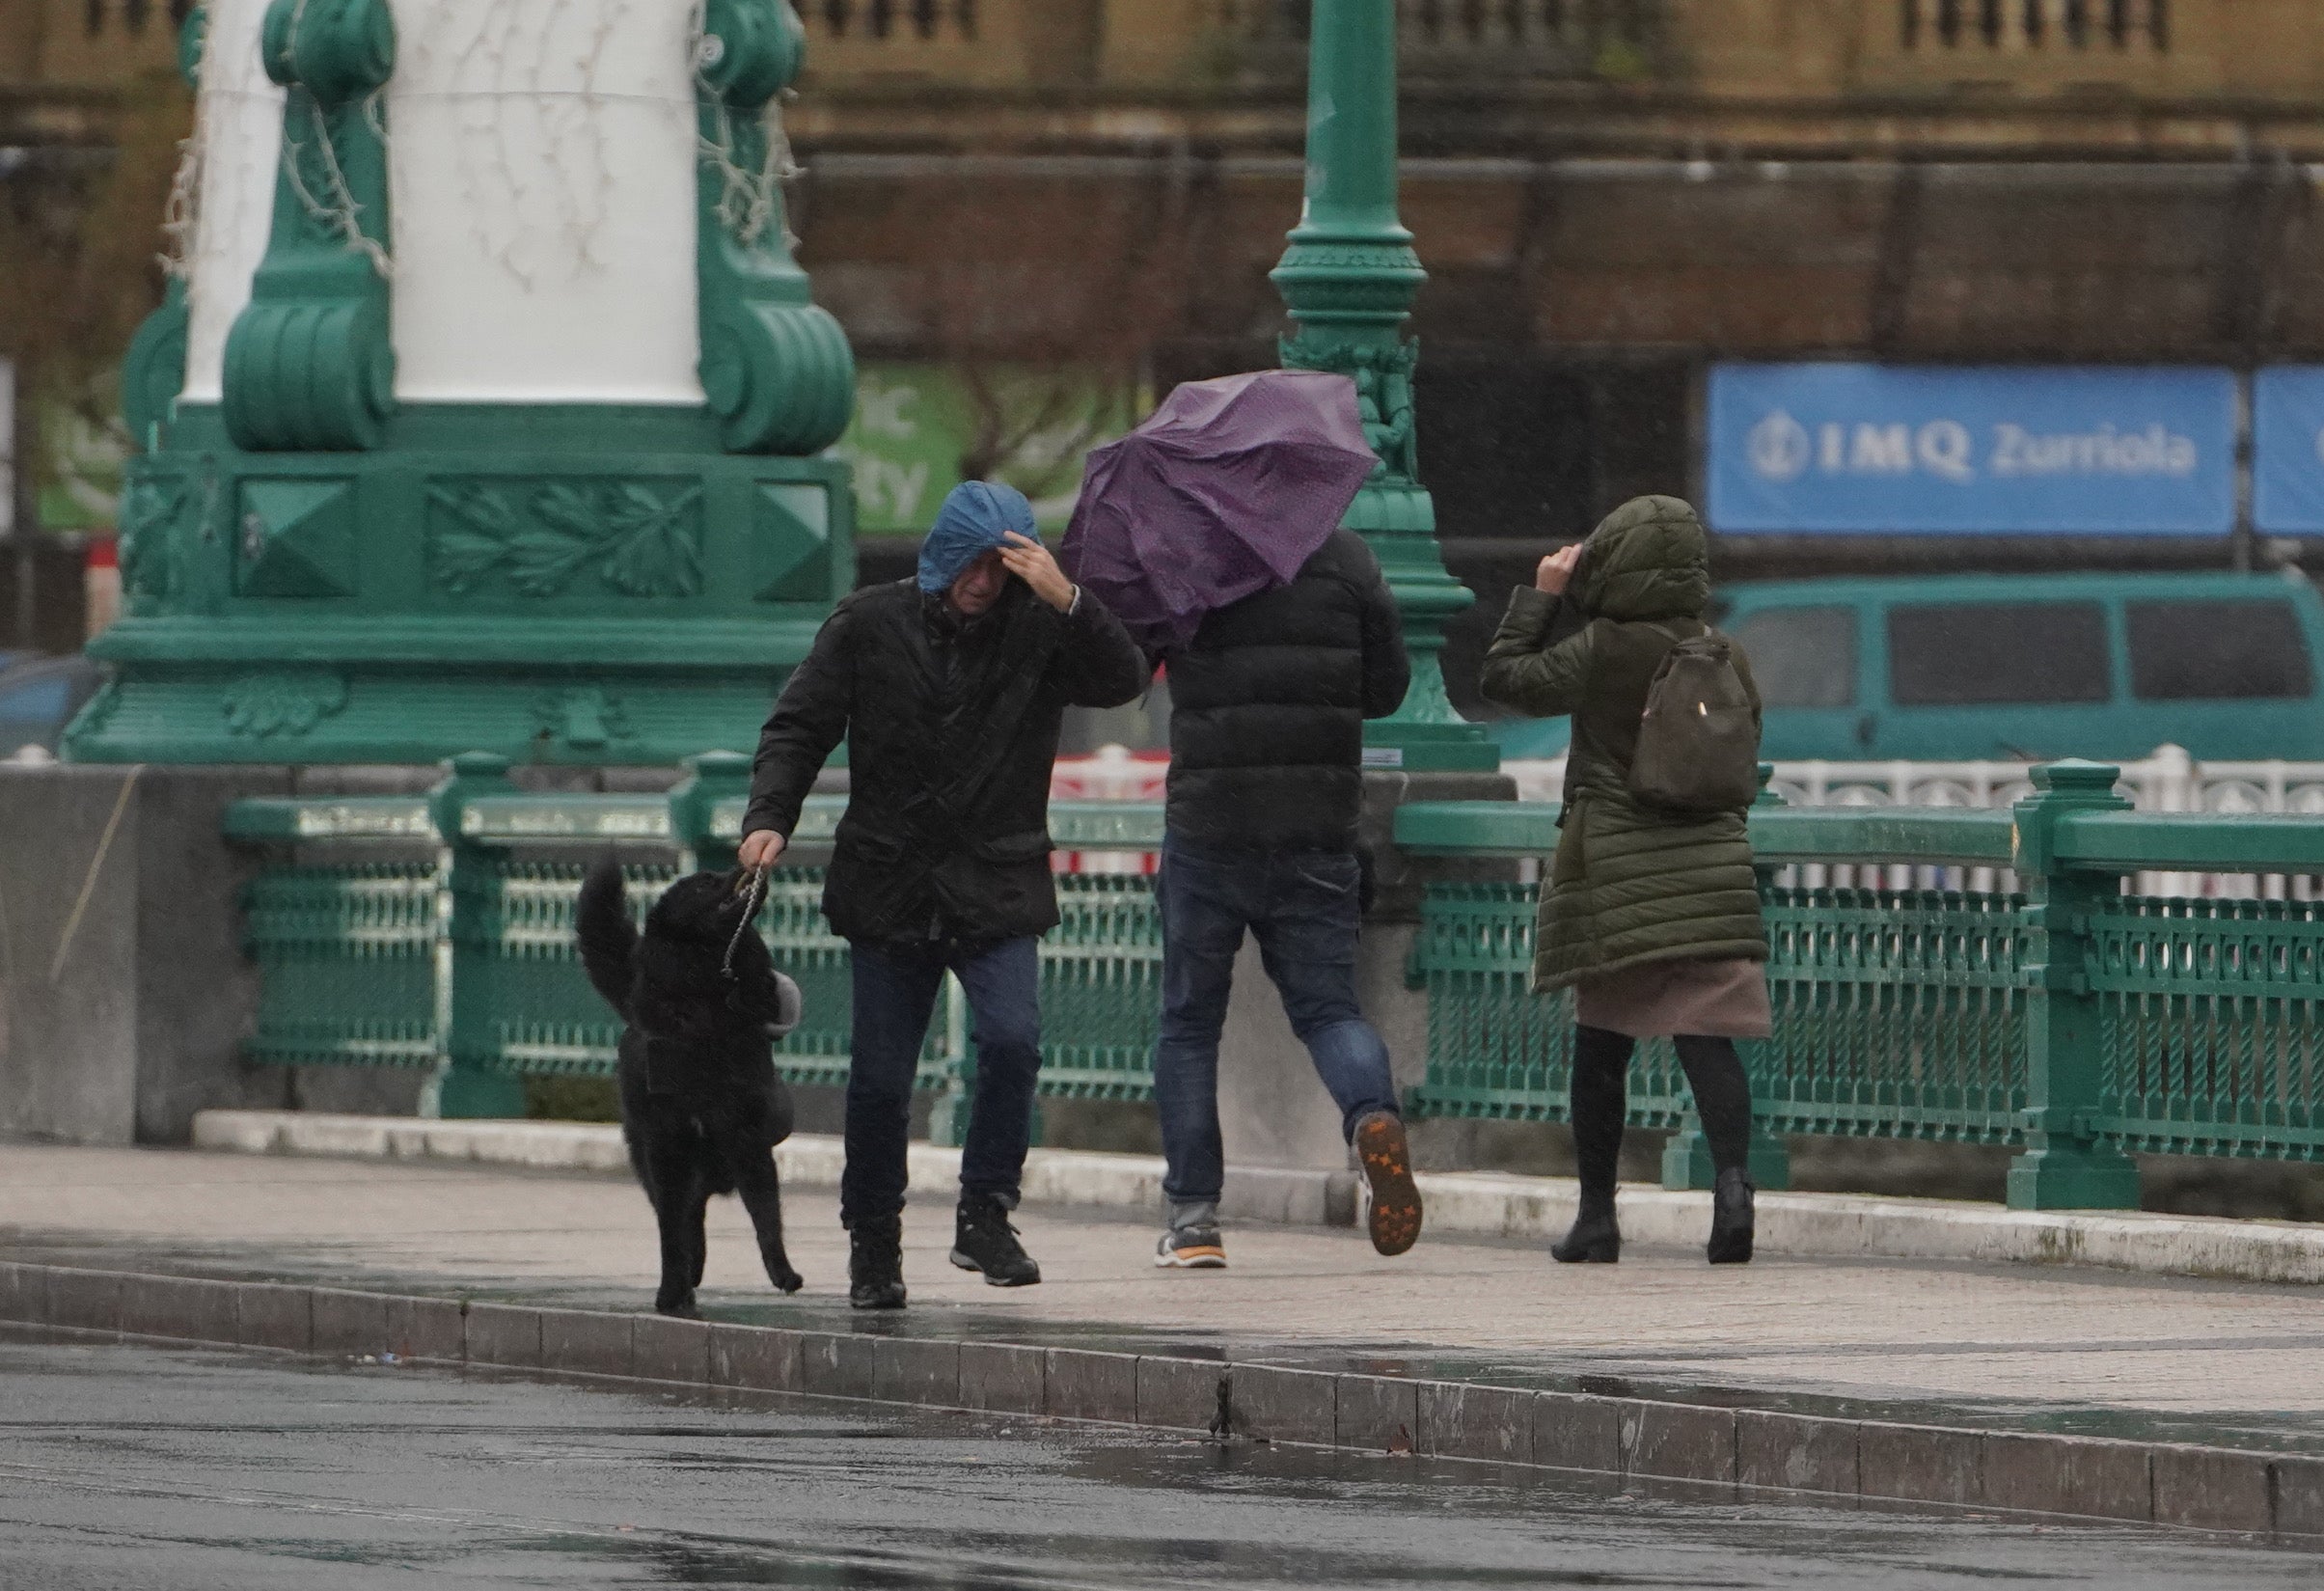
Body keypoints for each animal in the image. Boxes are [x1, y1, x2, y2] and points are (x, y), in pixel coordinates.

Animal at [576, 854, 804, 1319]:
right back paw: (687, 1280)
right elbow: (671, 1229)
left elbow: (766, 1217)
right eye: (704, 882)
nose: (745, 860)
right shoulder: (667, 1148)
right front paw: (671, 1292)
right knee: (685, 1218)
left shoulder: (747, 1141)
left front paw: (782, 1273)